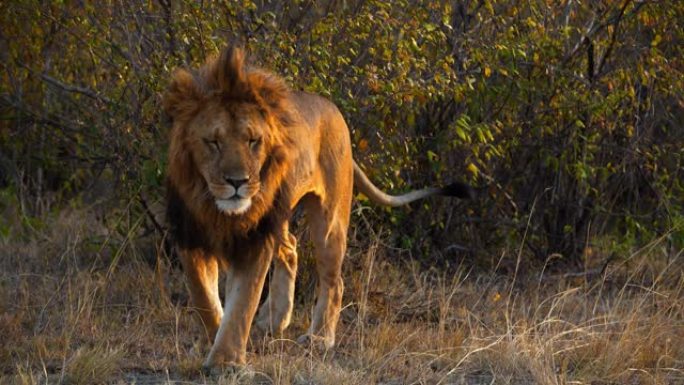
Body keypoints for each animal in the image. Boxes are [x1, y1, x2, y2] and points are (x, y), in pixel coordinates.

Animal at [164, 43, 476, 368]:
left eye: (253, 141)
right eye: (213, 142)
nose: (238, 181)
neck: (216, 208)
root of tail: (335, 112)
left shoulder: (255, 239)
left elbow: (241, 305)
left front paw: (225, 362)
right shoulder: (189, 236)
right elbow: (204, 299)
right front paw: (211, 341)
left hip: (329, 223)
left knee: (333, 281)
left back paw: (320, 338)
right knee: (290, 247)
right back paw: (272, 320)